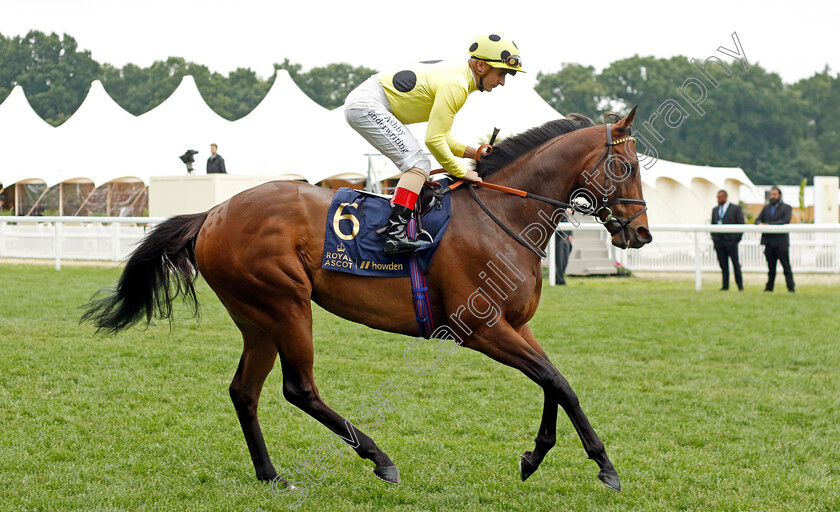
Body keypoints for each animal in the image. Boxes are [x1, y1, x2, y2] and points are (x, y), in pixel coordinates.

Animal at [82, 107, 648, 492]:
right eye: (626, 167)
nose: (640, 232)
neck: (503, 219)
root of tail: (213, 212)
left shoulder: (516, 324)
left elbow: (556, 381)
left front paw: (542, 457)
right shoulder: (482, 329)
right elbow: (555, 380)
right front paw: (602, 467)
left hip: (256, 318)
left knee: (245, 391)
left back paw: (270, 474)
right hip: (286, 304)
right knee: (299, 388)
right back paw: (380, 458)